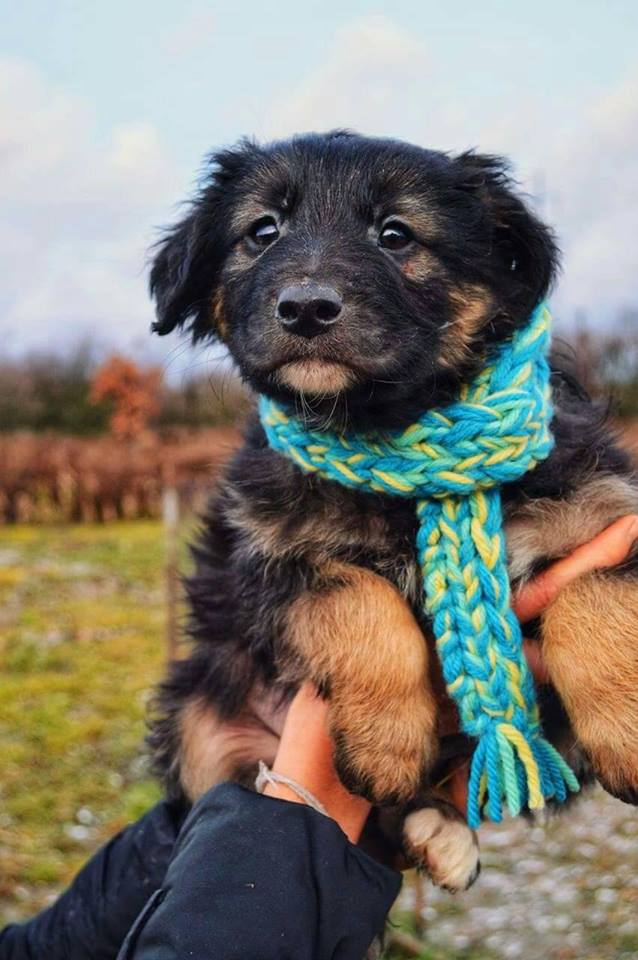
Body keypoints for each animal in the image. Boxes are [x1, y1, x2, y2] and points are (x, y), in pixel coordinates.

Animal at [147, 131, 638, 891]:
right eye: (262, 232)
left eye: (396, 234)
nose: (306, 308)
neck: (384, 430)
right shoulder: (263, 562)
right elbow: (358, 599)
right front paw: (386, 742)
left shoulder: (603, 516)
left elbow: (597, 590)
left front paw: (628, 731)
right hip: (196, 711)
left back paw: (441, 830)